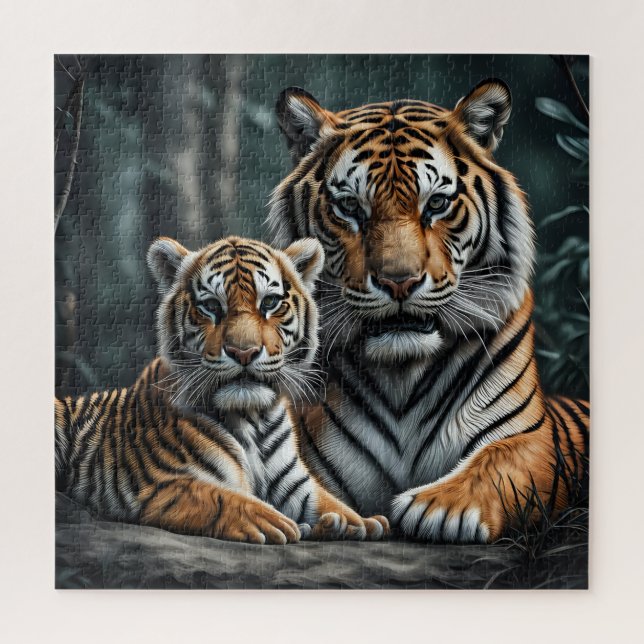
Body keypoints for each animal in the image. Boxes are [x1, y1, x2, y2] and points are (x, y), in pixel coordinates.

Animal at [55, 235, 389, 544]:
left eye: (269, 303)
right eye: (212, 306)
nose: (244, 352)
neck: (253, 419)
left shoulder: (297, 485)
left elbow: (332, 501)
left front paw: (359, 521)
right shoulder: (156, 484)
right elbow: (217, 496)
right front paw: (271, 521)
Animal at [267, 79, 589, 543]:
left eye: (436, 204)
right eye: (350, 207)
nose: (399, 281)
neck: (402, 374)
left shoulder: (534, 438)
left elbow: (497, 460)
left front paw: (439, 508)